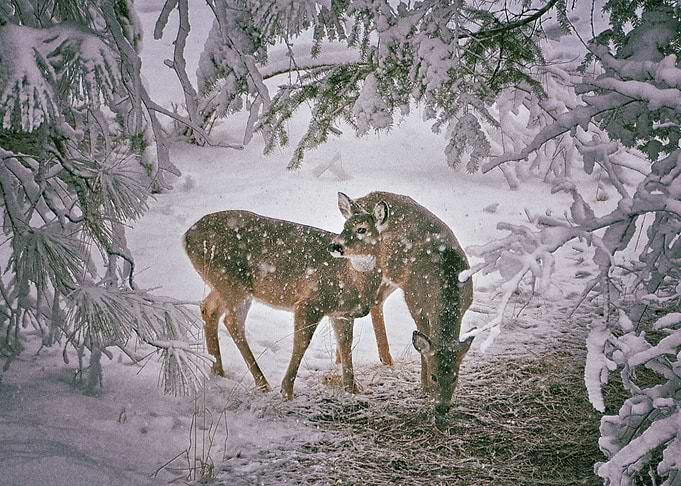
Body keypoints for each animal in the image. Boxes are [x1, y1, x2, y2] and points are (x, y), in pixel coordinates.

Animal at [183, 193, 390, 400]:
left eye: (361, 229)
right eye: (344, 226)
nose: (335, 246)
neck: (351, 280)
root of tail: (186, 237)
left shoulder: (342, 314)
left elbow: (345, 345)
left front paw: (352, 390)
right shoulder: (310, 302)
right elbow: (302, 342)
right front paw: (287, 391)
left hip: (223, 284)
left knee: (208, 309)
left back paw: (217, 371)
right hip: (233, 283)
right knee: (232, 322)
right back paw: (262, 384)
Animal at [337, 192, 474, 418]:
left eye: (455, 376)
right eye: (435, 376)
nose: (442, 408)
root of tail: (361, 199)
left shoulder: (465, 306)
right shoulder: (414, 301)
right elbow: (423, 342)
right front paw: (424, 387)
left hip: (392, 276)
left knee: (376, 301)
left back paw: (385, 360)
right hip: (368, 266)